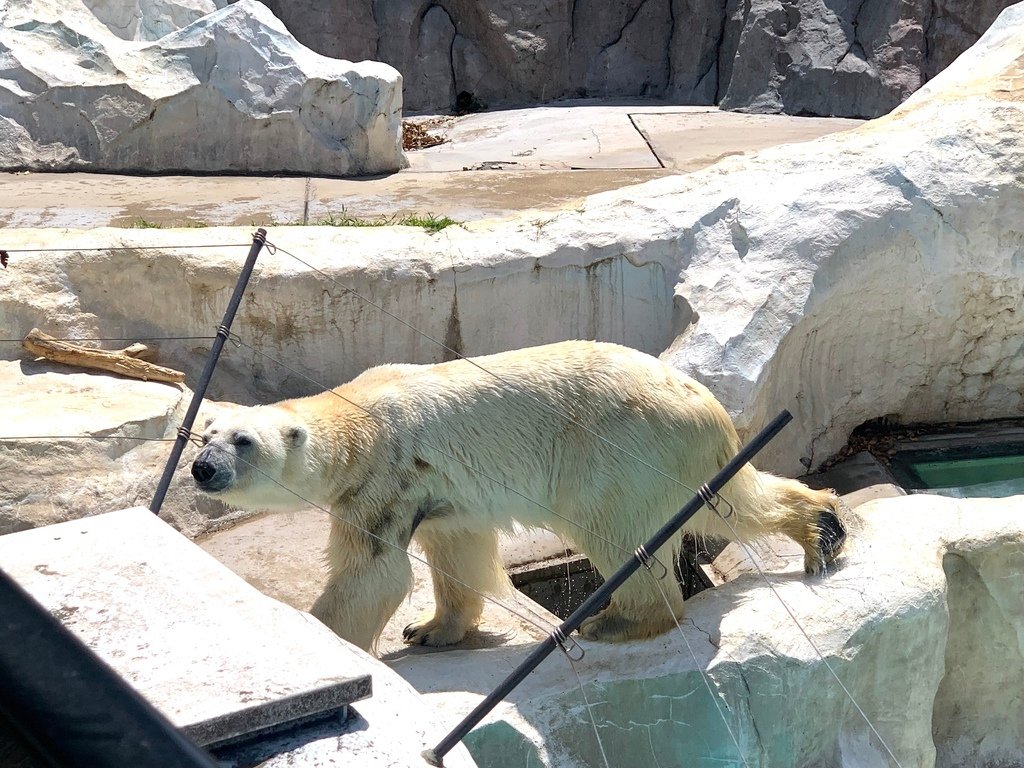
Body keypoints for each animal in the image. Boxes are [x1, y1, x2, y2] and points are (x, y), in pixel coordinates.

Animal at [193, 342, 847, 651]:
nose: (201, 469)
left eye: (242, 441)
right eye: (205, 434)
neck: (355, 415)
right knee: (734, 499)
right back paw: (823, 527)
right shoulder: (439, 493)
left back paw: (614, 621)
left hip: (622, 452)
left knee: (618, 534)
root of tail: (709, 408)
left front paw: (324, 636)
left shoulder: (382, 478)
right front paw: (430, 630)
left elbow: (371, 574)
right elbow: (456, 551)